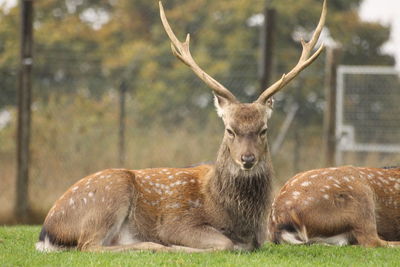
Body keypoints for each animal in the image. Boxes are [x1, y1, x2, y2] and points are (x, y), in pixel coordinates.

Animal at [36, 0, 326, 253]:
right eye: (229, 129)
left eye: (263, 129)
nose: (247, 159)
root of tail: (47, 230)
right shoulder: (177, 222)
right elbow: (224, 244)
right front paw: (178, 247)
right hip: (109, 195)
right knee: (89, 245)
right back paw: (153, 246)